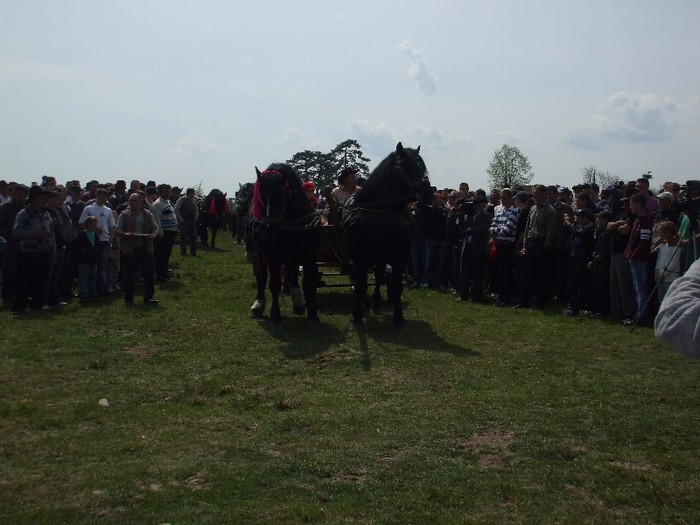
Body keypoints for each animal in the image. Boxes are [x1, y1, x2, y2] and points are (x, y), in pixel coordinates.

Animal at [249, 164, 320, 328]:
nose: (269, 226)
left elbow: (309, 283)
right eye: (260, 192)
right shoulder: (272, 256)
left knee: (292, 272)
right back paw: (258, 304)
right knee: (262, 277)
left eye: (281, 192)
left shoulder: (309, 255)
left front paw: (313, 315)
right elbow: (274, 283)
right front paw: (275, 315)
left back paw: (298, 301)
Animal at [344, 141, 434, 326]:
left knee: (379, 276)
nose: (428, 194)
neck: (382, 211)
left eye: (423, 167)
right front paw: (357, 315)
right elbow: (361, 283)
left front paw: (398, 316)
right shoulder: (360, 257)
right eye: (408, 166)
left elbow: (397, 284)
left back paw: (376, 302)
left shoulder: (399, 256)